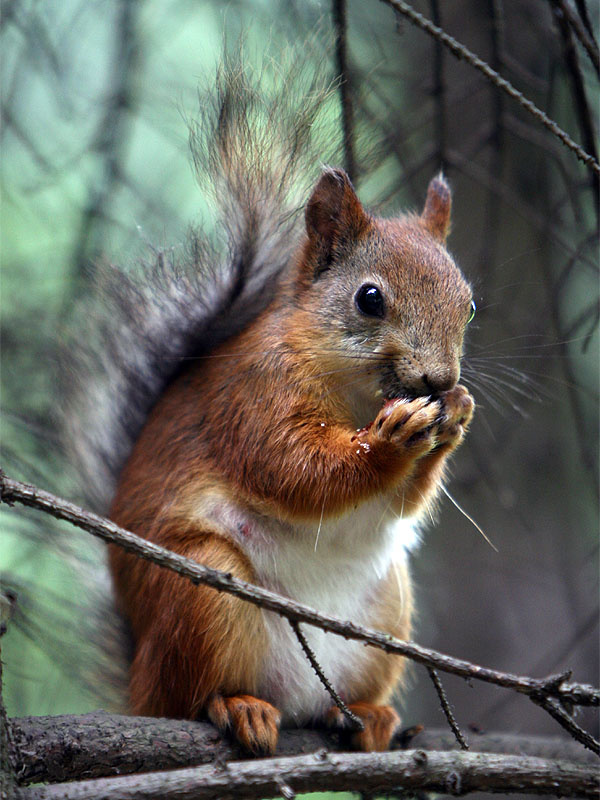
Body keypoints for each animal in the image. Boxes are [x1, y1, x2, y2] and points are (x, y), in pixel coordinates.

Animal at [66, 59, 475, 756]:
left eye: (469, 304)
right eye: (369, 298)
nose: (439, 379)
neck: (356, 396)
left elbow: (400, 502)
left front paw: (458, 413)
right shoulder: (253, 397)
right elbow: (293, 468)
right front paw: (386, 444)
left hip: (387, 608)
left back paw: (367, 716)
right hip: (203, 591)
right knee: (188, 697)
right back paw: (237, 706)